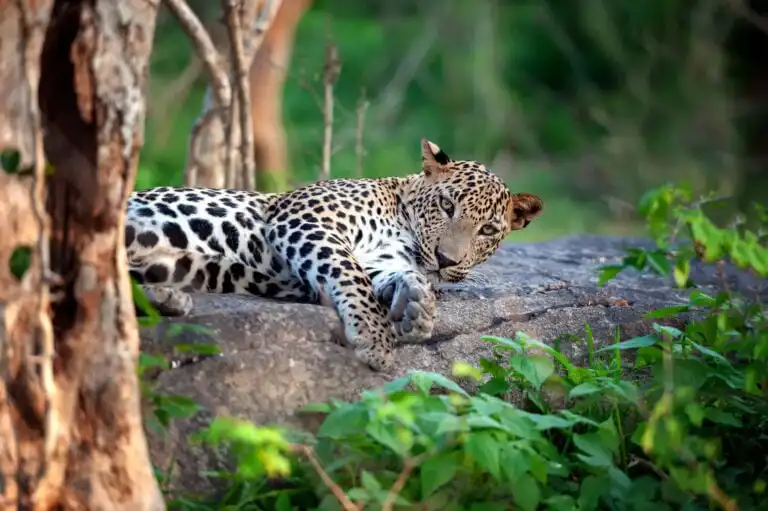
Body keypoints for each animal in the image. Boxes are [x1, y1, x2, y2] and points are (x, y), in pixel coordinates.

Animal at [125, 139, 543, 372]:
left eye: (487, 230)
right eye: (446, 205)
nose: (446, 260)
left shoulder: (381, 261)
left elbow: (381, 277)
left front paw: (416, 304)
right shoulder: (305, 220)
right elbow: (349, 274)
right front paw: (375, 338)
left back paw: (165, 298)